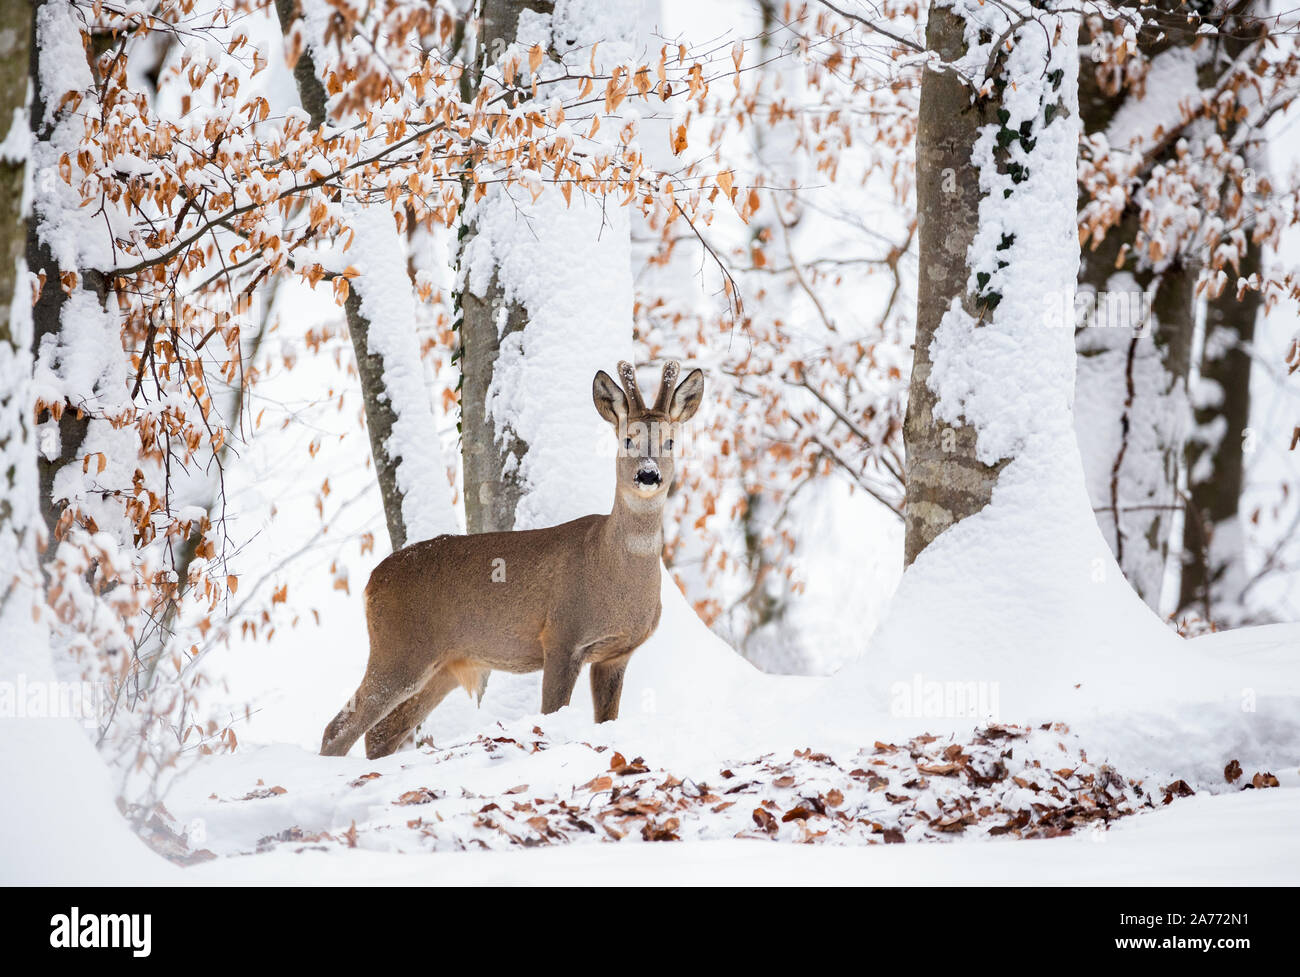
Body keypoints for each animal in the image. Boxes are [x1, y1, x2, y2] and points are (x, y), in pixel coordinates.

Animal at [319, 363, 707, 758]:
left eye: (670, 442)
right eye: (627, 439)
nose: (648, 474)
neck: (611, 569)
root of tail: (371, 582)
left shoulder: (616, 653)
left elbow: (606, 721)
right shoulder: (561, 635)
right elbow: (550, 713)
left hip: (443, 666)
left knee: (381, 732)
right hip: (398, 648)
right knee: (339, 727)